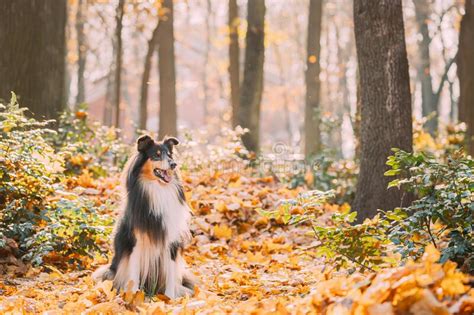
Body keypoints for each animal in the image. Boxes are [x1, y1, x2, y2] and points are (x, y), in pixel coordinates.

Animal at [93, 135, 193, 298]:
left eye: (170, 155)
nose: (173, 164)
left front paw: (169, 299)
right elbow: (133, 274)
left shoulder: (171, 241)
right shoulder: (136, 242)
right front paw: (133, 297)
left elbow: (171, 274)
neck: (158, 189)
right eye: (156, 155)